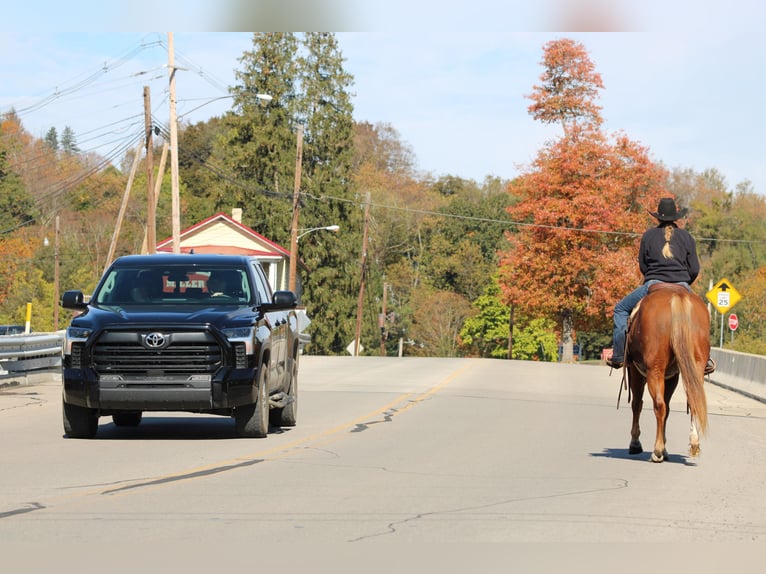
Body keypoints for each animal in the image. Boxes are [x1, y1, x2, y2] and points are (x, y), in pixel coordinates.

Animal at [624, 283, 709, 462]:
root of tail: (677, 295)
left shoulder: (635, 370)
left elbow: (637, 404)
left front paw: (636, 443)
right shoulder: (673, 376)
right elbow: (669, 408)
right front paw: (665, 448)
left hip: (654, 370)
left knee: (659, 405)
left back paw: (656, 451)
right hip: (696, 366)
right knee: (694, 400)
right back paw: (694, 444)